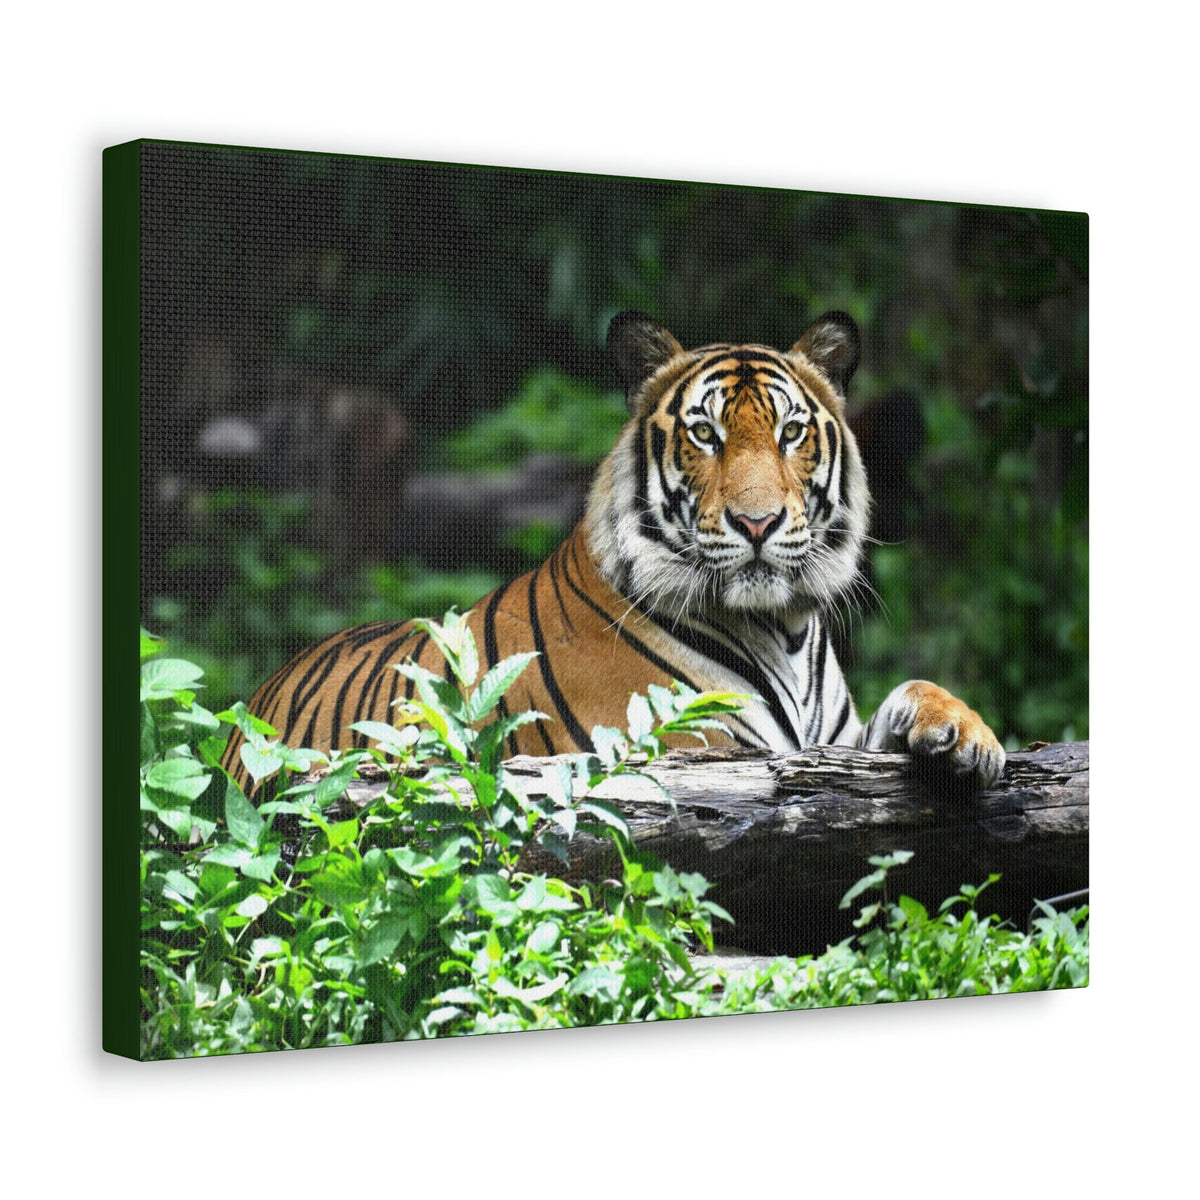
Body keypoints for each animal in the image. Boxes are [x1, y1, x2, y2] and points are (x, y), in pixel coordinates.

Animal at [222, 310, 1005, 795]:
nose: (757, 523)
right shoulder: (693, 750)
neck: (783, 629)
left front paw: (967, 737)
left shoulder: (833, 743)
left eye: (790, 433)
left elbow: (911, 691)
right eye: (705, 435)